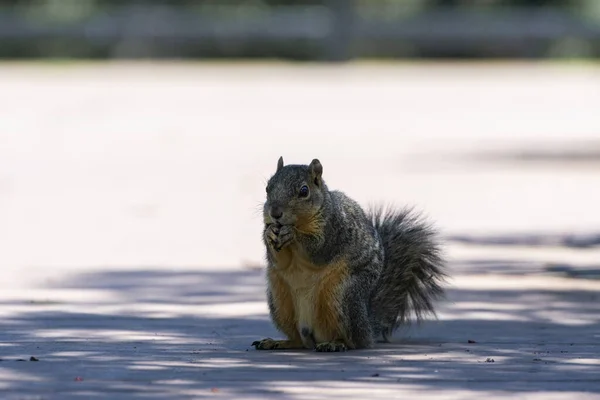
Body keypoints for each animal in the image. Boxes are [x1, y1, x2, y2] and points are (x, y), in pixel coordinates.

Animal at [250, 158, 446, 352]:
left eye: (304, 191)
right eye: (267, 187)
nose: (275, 214)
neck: (299, 222)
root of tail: (368, 327)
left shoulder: (334, 230)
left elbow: (317, 251)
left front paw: (292, 234)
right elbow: (280, 261)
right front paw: (268, 234)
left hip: (343, 295)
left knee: (353, 340)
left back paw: (335, 343)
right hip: (280, 302)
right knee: (299, 340)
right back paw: (279, 342)